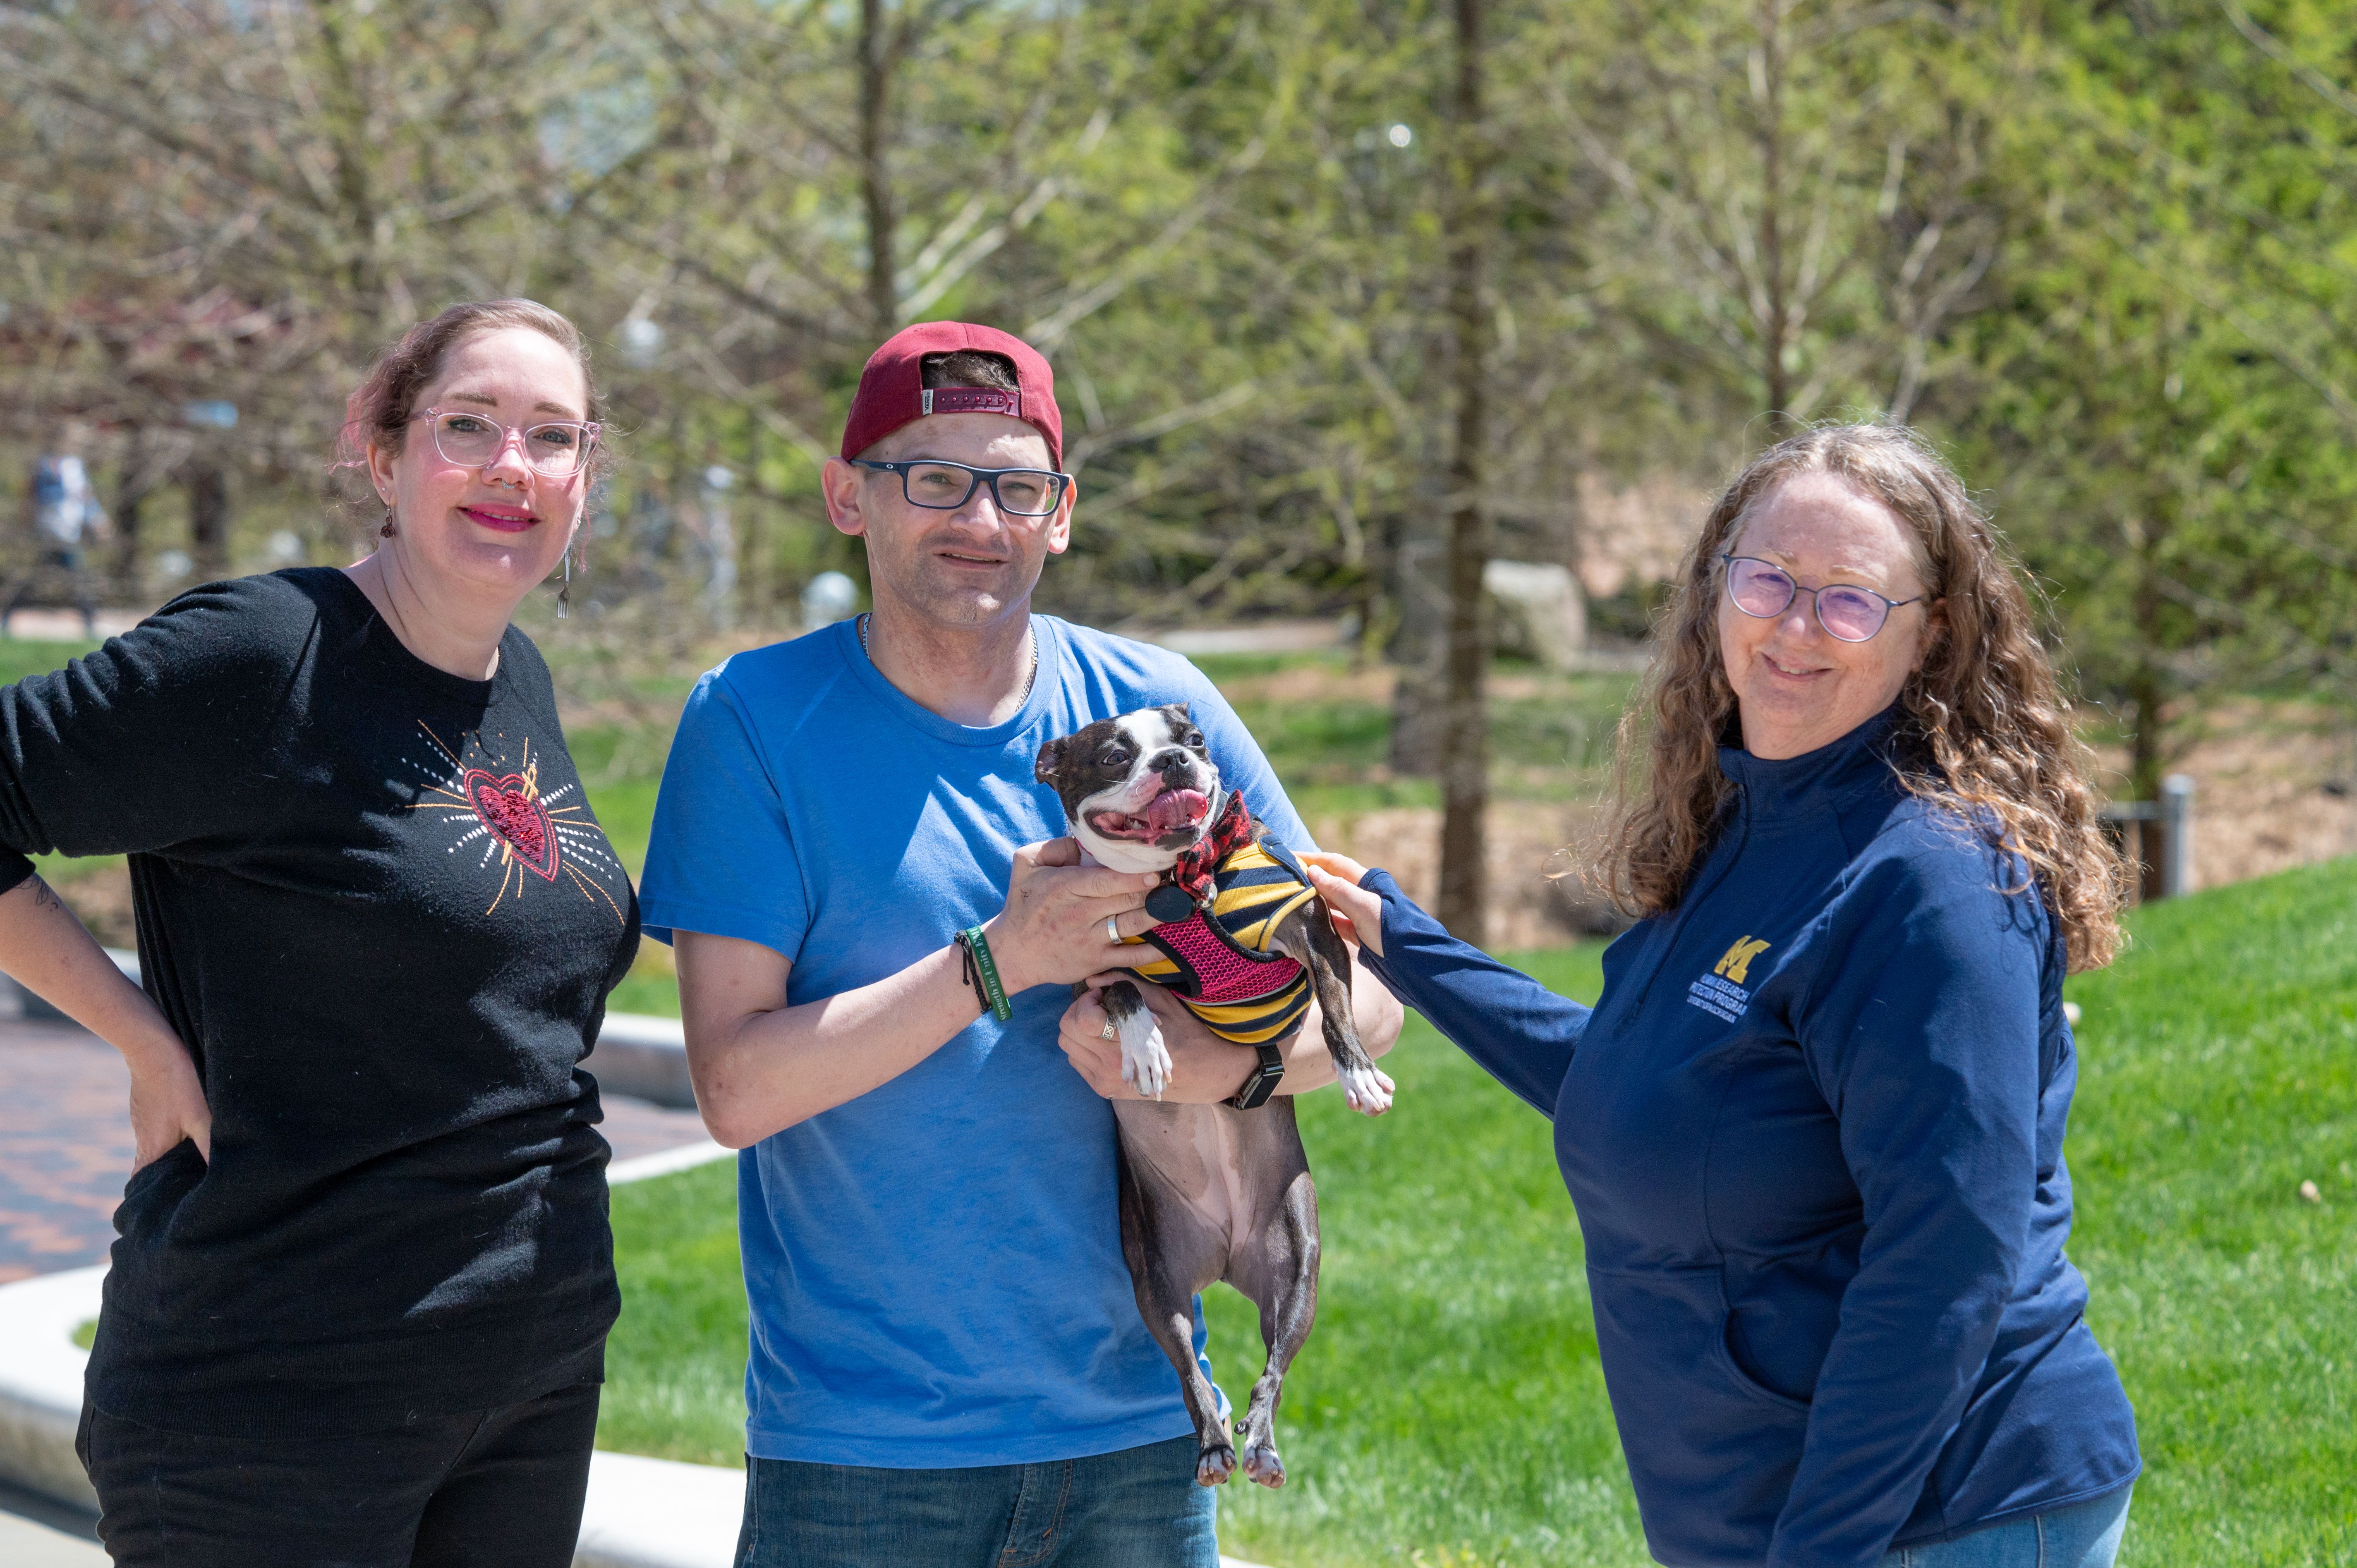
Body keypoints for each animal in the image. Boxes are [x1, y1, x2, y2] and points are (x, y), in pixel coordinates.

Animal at [1028, 707, 1376, 1490]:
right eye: (1113, 755)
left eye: (1193, 743)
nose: (1172, 763)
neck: (1180, 884)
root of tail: (1224, 1254)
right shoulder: (1089, 968)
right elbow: (1126, 991)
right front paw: (1144, 1046)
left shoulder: (1316, 933)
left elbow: (1337, 1009)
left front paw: (1359, 1073)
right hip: (1155, 1279)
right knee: (1191, 1374)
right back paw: (1216, 1445)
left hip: (1297, 1266)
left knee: (1270, 1370)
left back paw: (1261, 1444)